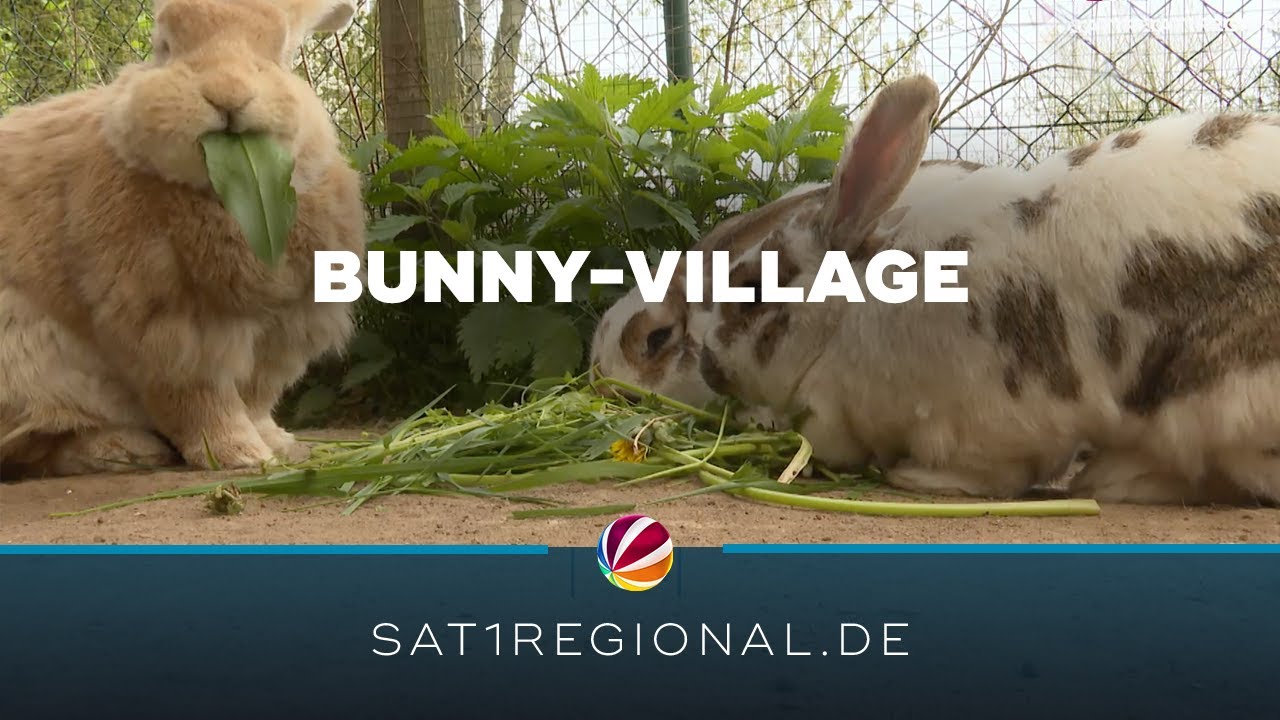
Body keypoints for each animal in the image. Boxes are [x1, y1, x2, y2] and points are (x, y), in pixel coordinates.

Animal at [0, 0, 366, 479]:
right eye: (165, 47)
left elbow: (254, 399)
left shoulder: (279, 335)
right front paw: (237, 455)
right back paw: (123, 449)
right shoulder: (172, 335)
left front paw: (277, 445)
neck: (234, 193)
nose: (227, 96)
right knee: (36, 441)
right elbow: (199, 403)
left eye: (277, 54)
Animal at [694, 73, 1280, 505]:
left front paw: (914, 478)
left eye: (751, 289)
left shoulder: (989, 421)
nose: (707, 366)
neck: (847, 315)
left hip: (1213, 399)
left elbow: (991, 473)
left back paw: (1113, 480)